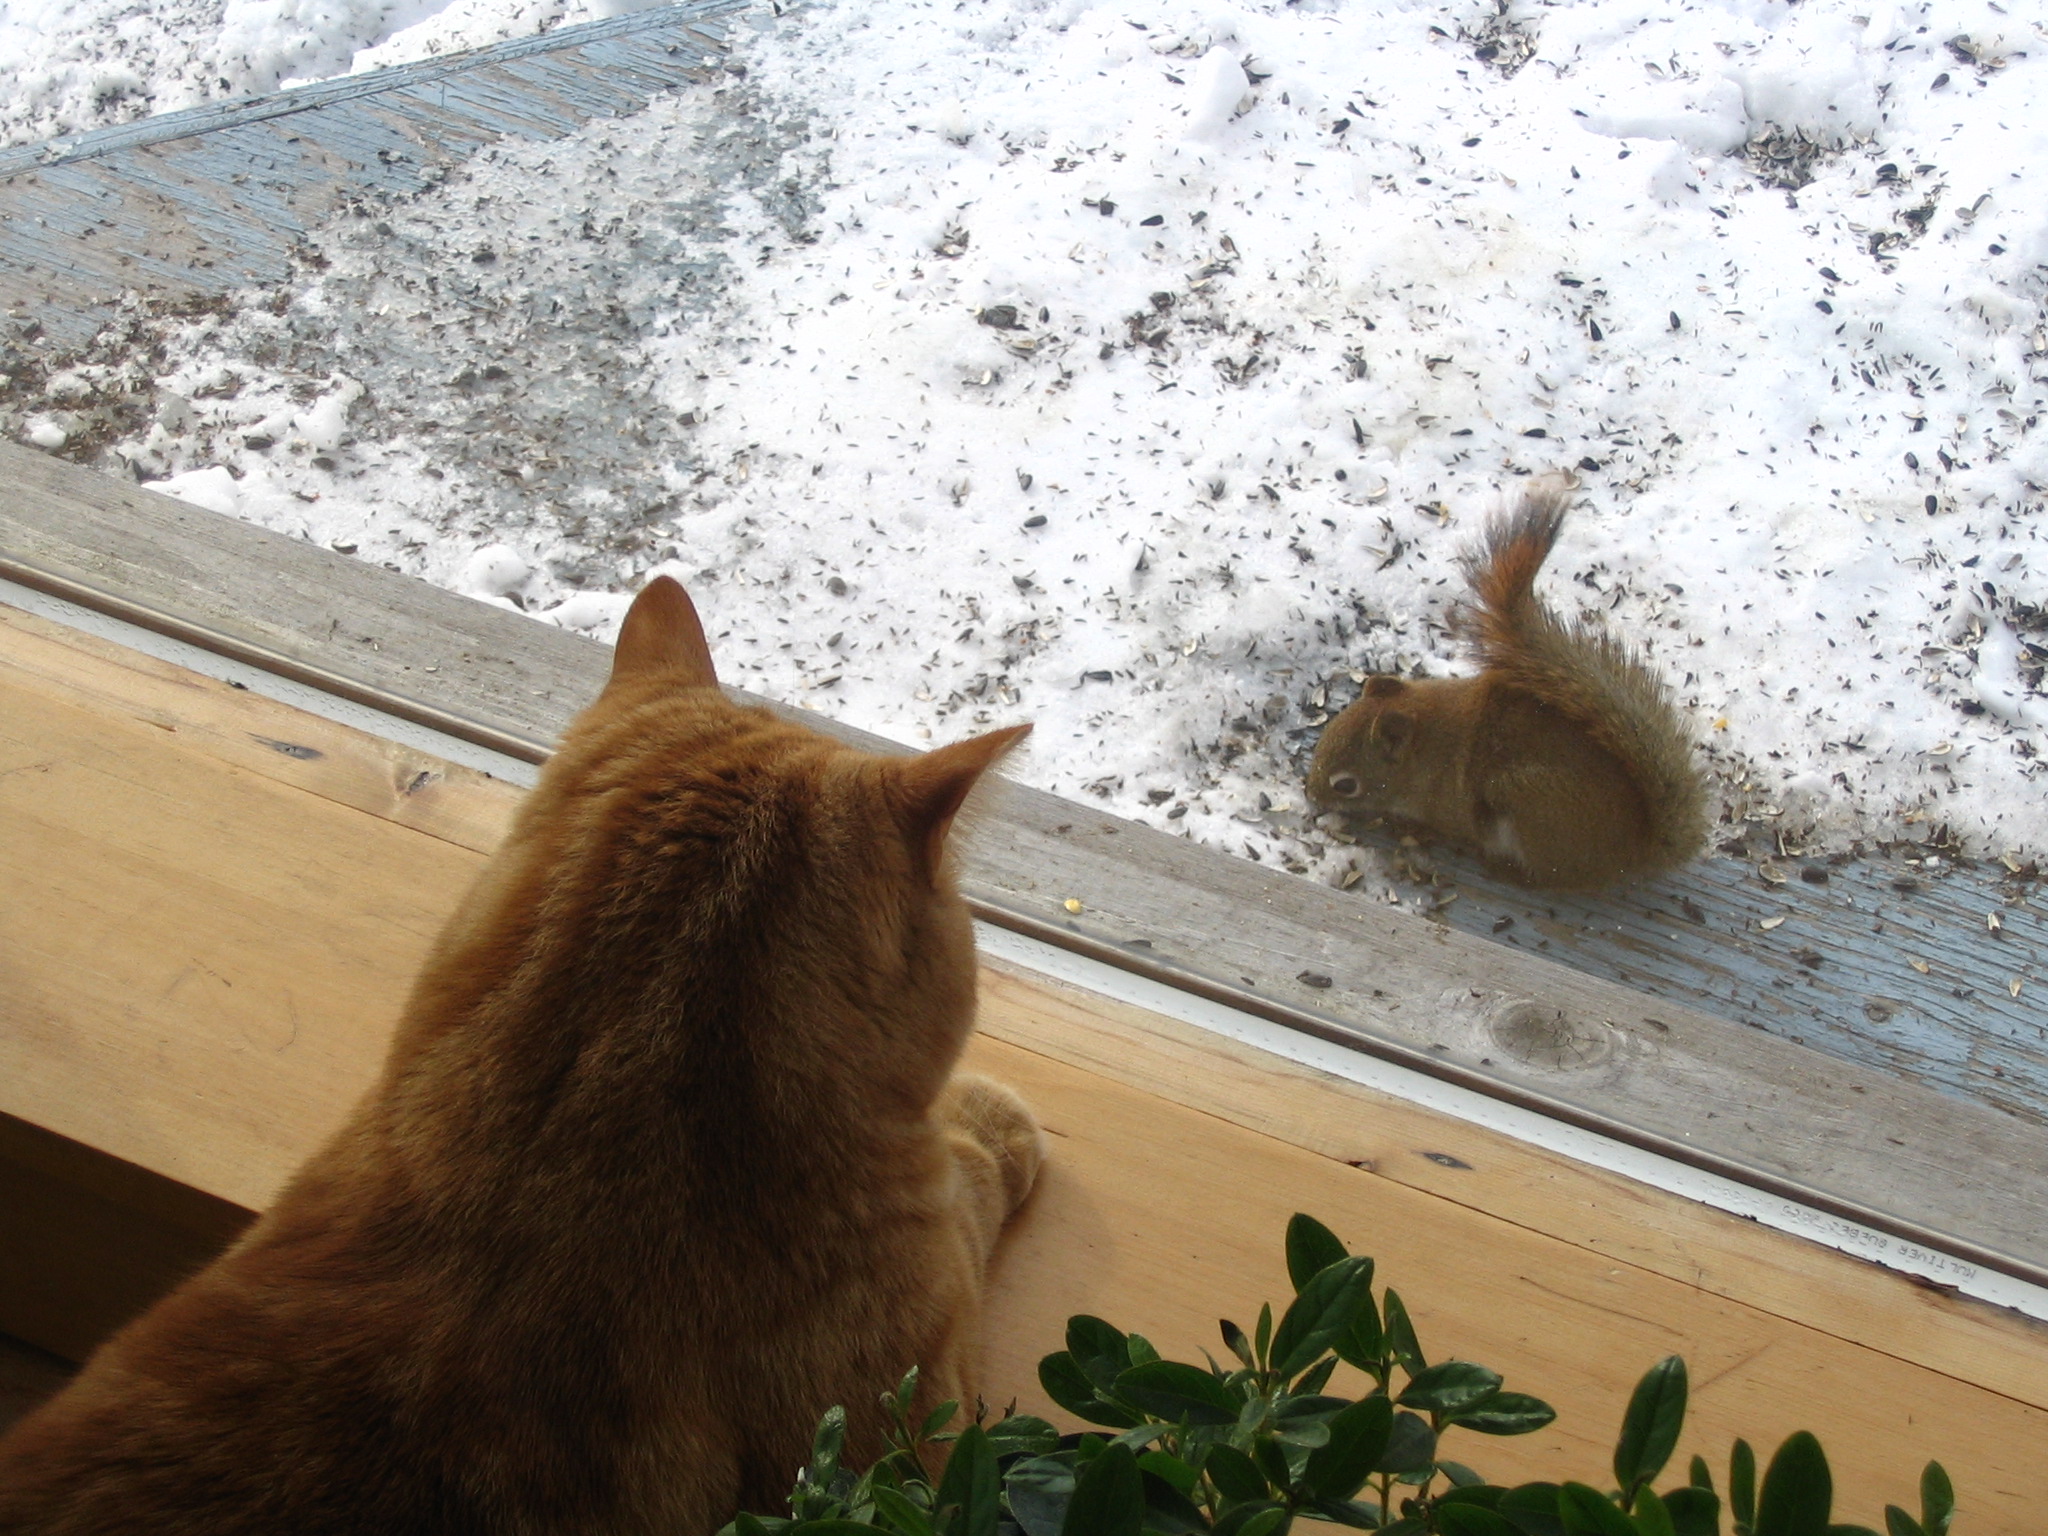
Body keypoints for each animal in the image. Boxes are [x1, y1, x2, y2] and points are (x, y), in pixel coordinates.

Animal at [1306, 481, 1706, 891]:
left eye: (1345, 785)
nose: (1311, 797)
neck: (1428, 744)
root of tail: (1633, 853)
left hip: (1524, 803)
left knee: (1550, 879)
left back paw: (1505, 869)